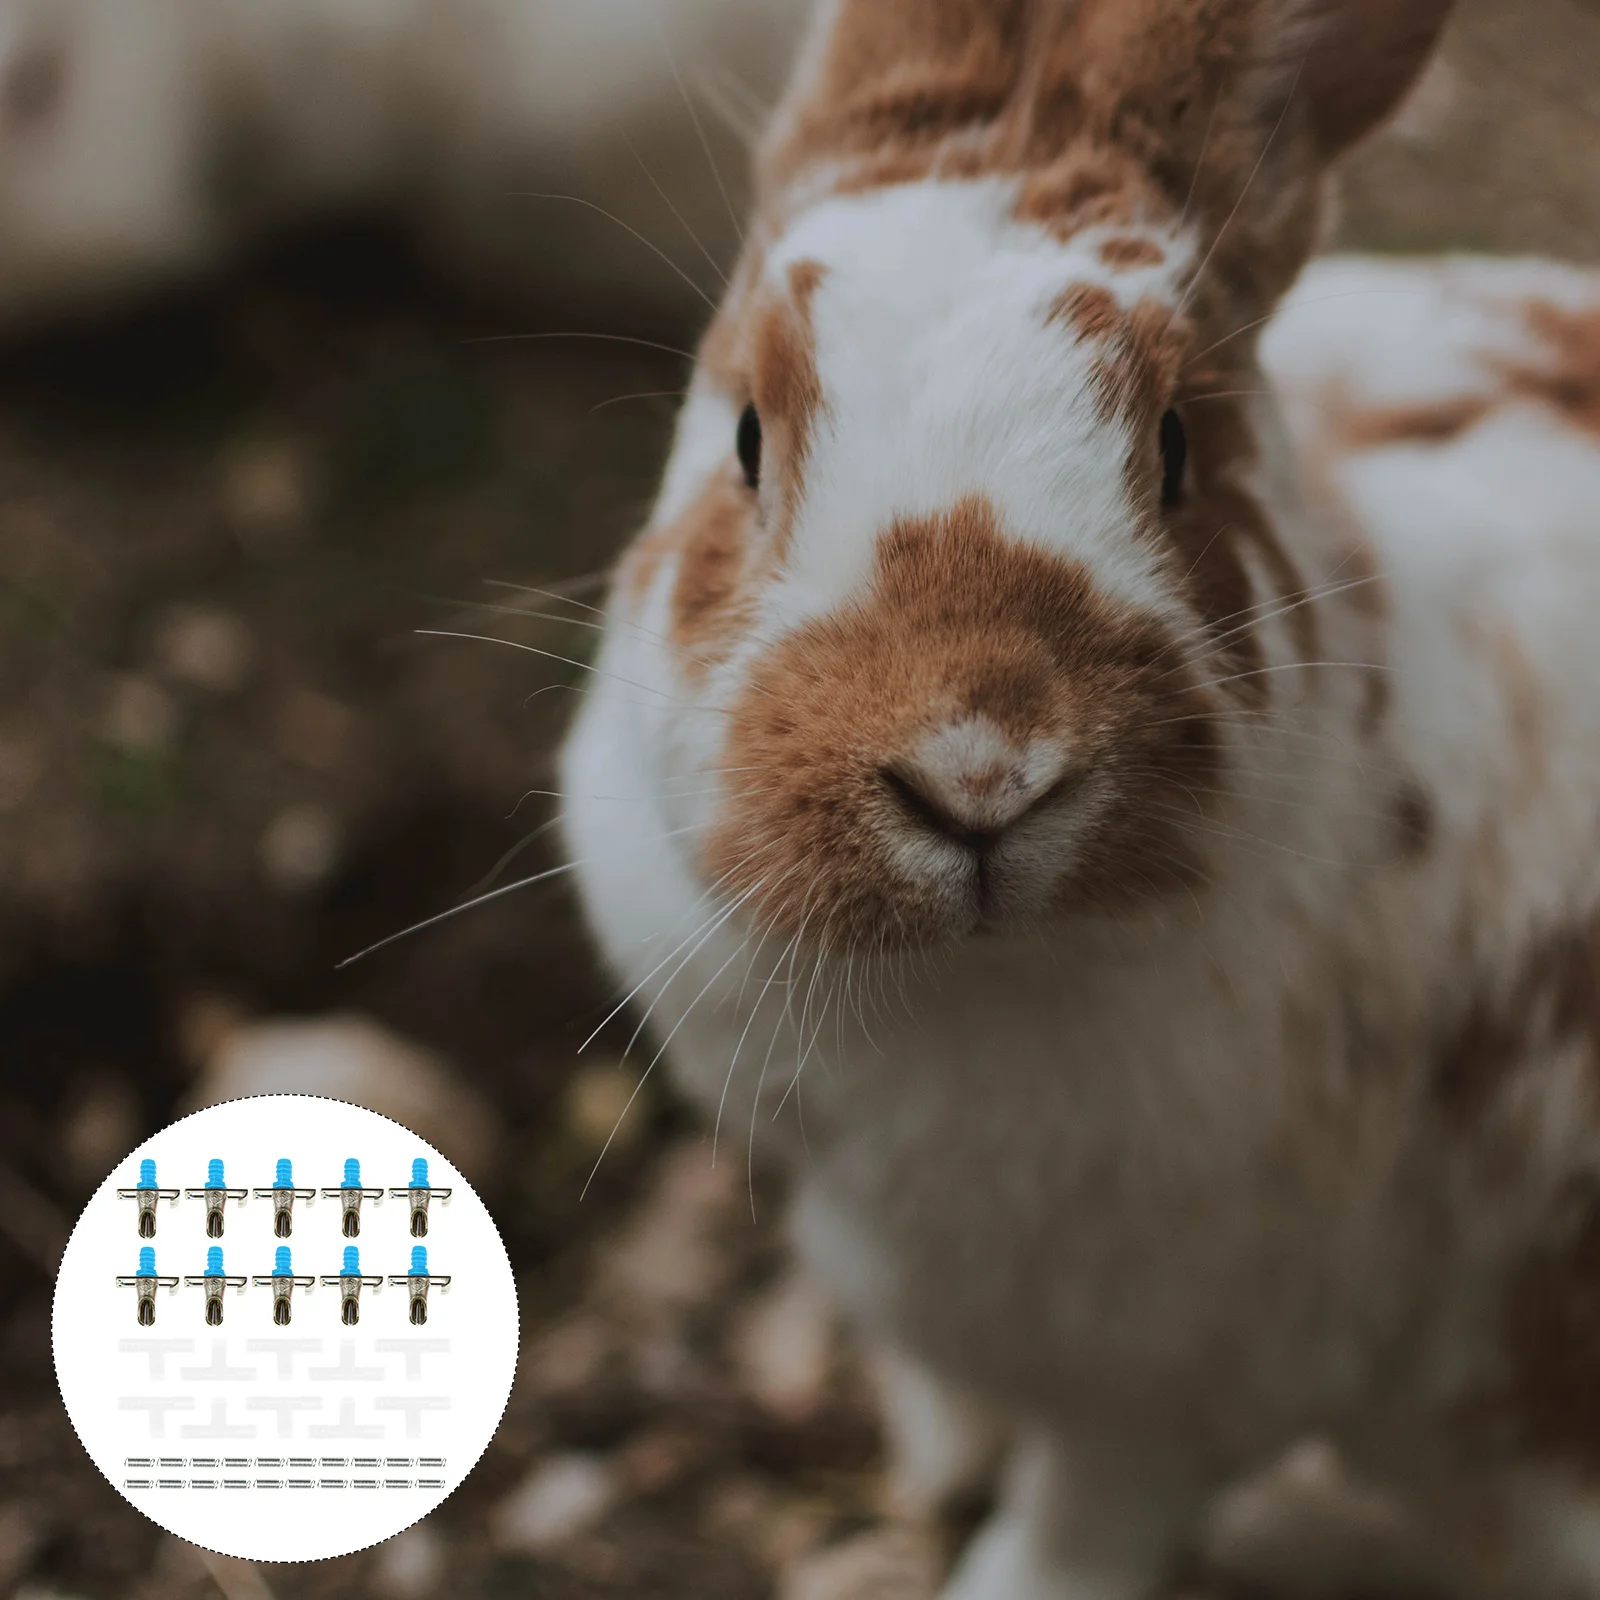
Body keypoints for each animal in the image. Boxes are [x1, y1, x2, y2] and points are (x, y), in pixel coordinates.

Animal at [561, 0, 1600, 1594]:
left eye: (1176, 444)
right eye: (746, 436)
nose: (977, 771)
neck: (971, 985)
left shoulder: (1190, 1372)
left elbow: (1086, 1508)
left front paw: (1004, 1571)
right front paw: (939, 1453)